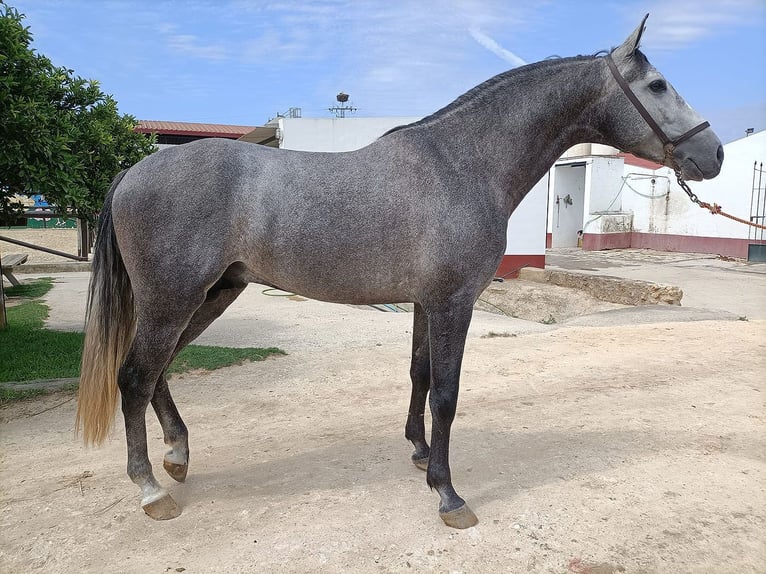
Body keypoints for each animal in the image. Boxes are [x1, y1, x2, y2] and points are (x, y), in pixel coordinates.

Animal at [78, 16, 728, 532]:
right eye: (657, 85)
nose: (715, 154)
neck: (460, 164)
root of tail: (134, 171)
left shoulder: (423, 303)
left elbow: (418, 376)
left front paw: (418, 452)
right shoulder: (453, 303)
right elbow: (447, 392)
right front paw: (448, 493)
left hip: (211, 293)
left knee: (158, 371)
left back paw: (178, 454)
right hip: (174, 298)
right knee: (134, 377)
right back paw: (151, 490)